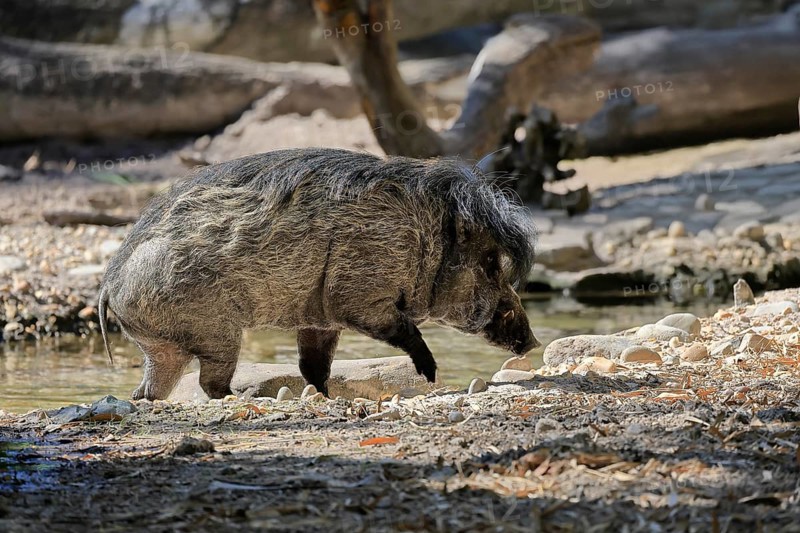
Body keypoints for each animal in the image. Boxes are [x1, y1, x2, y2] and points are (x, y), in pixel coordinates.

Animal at [99, 148, 540, 400]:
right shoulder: (359, 295)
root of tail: (109, 286)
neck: (422, 238)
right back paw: (243, 399)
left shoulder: (320, 319)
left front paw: (325, 396)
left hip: (163, 345)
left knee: (149, 390)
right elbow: (401, 328)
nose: (534, 341)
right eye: (490, 261)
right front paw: (430, 374)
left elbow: (313, 366)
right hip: (217, 332)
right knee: (210, 383)